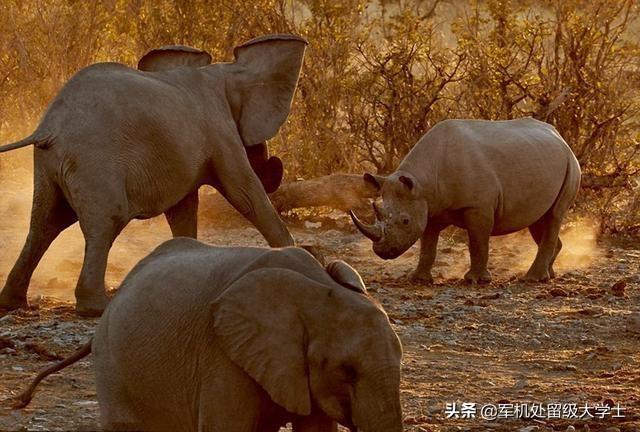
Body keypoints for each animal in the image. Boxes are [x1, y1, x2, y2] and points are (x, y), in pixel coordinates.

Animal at [0, 33, 308, 316]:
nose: (275, 164)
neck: (223, 72)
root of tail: (49, 127)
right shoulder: (220, 131)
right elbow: (245, 194)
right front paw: (297, 257)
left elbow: (183, 209)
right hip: (93, 160)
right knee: (105, 220)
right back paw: (96, 308)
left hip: (50, 165)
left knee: (45, 224)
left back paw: (14, 303)